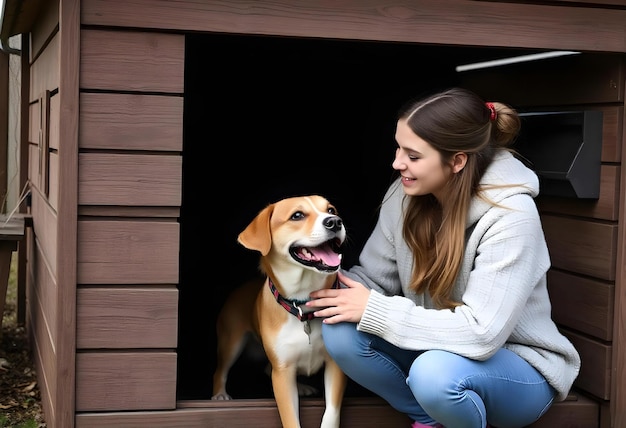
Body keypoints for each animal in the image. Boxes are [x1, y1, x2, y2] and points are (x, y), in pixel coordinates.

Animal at [210, 196, 346, 428]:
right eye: (297, 215)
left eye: (331, 210)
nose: (335, 222)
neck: (303, 305)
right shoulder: (282, 372)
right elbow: (290, 418)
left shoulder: (335, 366)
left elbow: (331, 413)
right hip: (231, 343)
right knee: (220, 371)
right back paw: (219, 394)